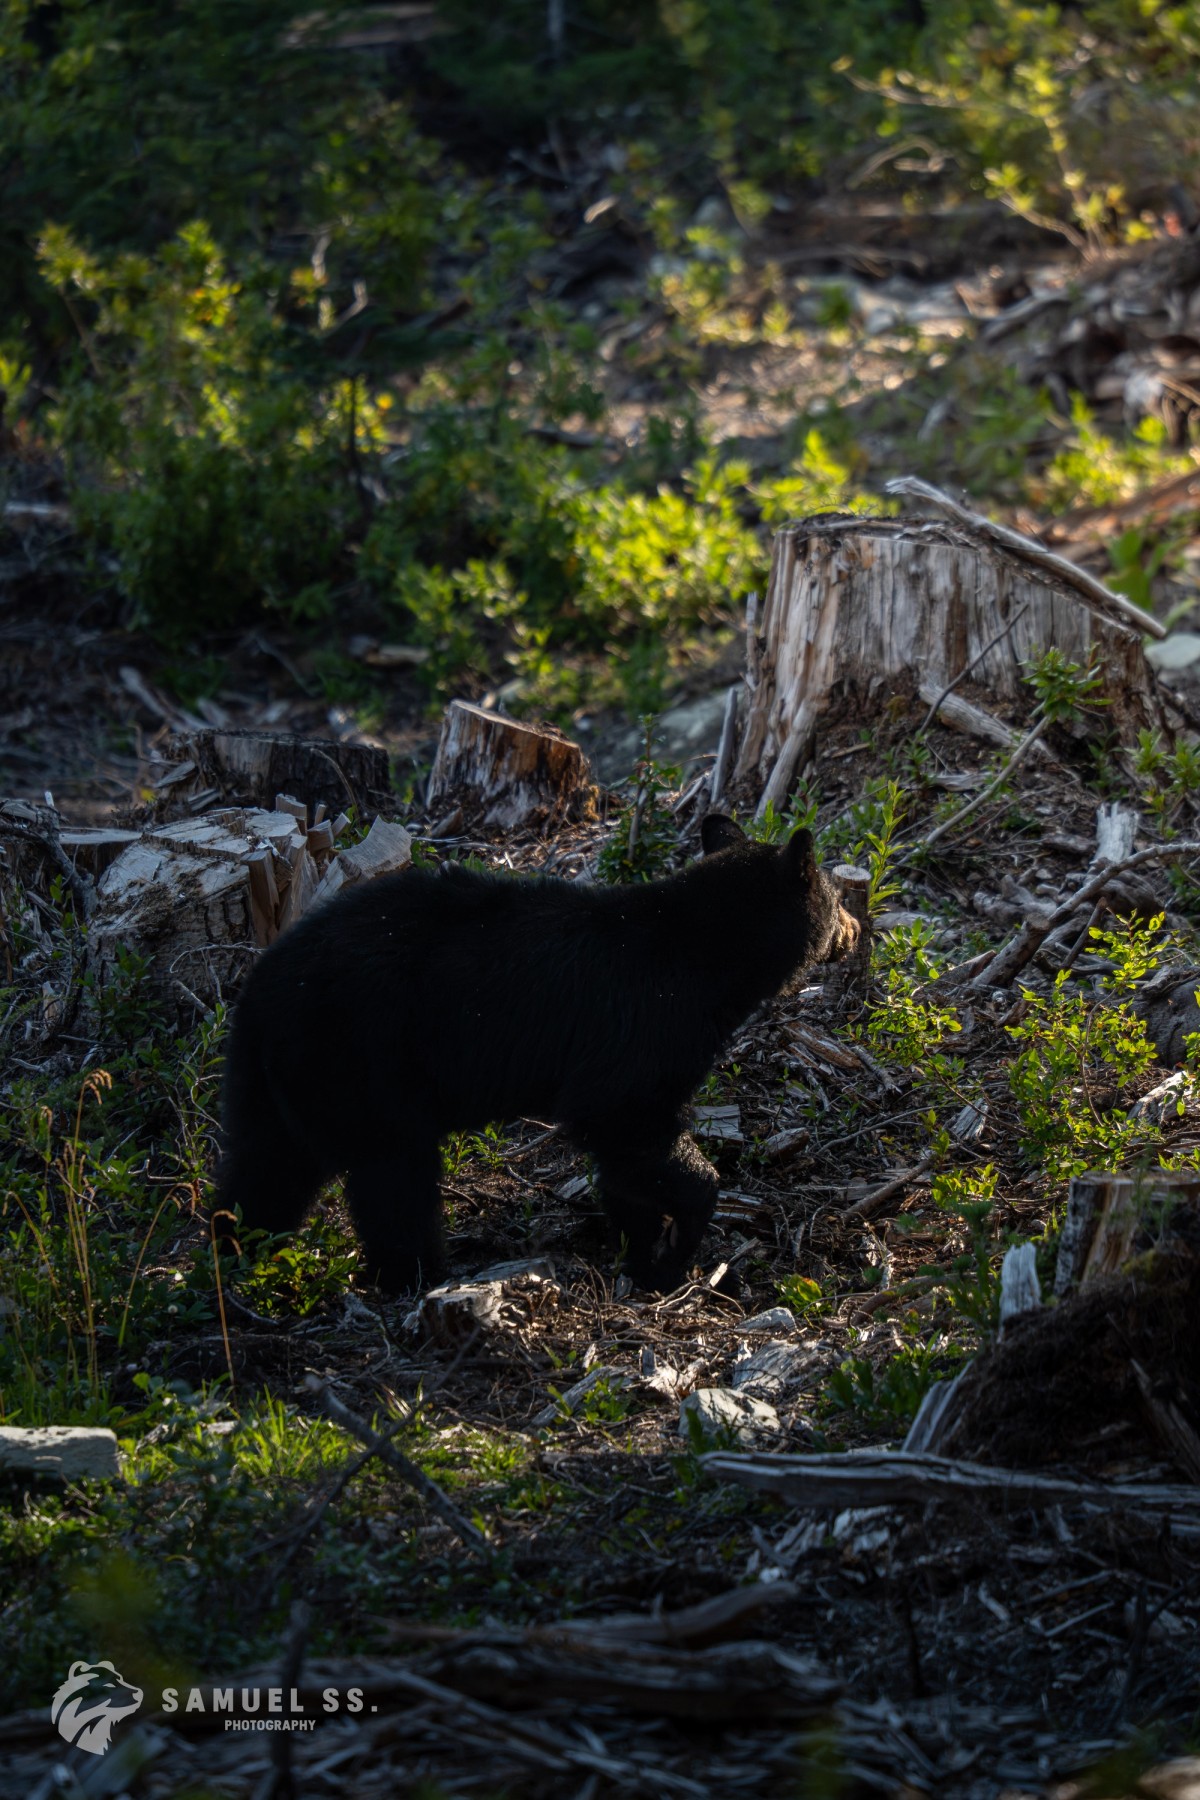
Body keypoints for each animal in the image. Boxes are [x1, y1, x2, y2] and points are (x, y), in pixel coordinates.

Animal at [215, 814, 859, 1294]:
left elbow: (625, 1165)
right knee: (393, 1177)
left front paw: (641, 1248)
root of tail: (260, 990)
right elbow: (629, 1120)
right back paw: (419, 1275)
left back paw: (236, 1254)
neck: (706, 952)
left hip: (274, 1077)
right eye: (835, 897)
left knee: (263, 1170)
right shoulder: (642, 1030)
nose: (854, 930)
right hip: (361, 1061)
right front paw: (676, 1249)